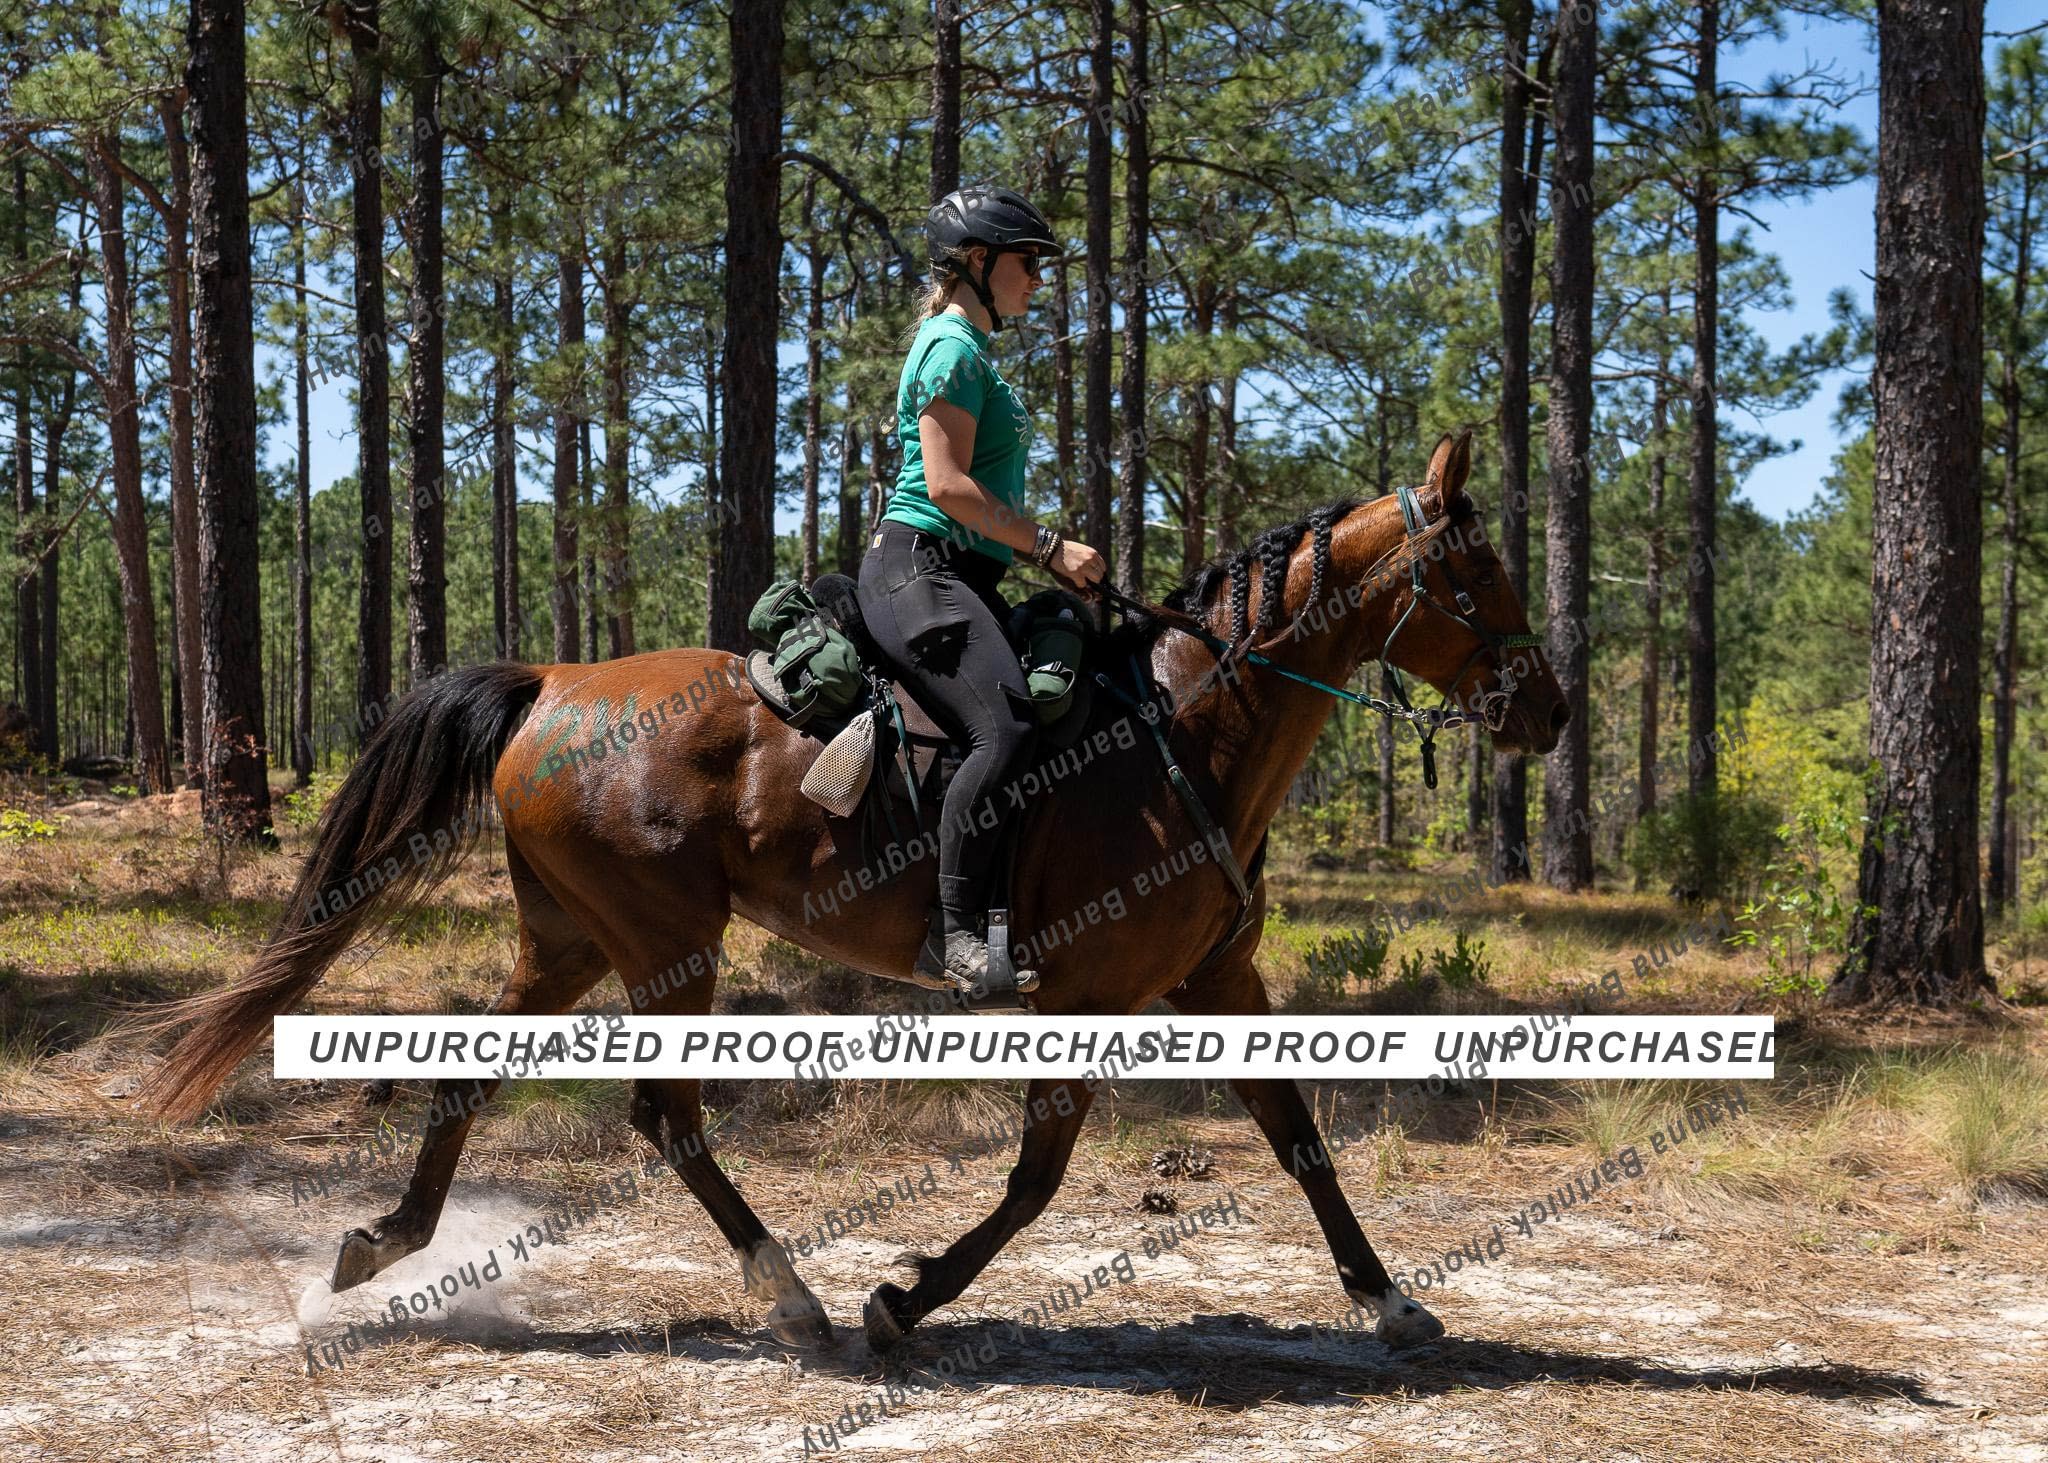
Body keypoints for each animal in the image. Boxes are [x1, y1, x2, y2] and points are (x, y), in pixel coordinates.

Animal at [140, 429, 1566, 1356]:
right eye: (1477, 577)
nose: (1547, 713)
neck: (1183, 728)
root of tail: (551, 684)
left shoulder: (1219, 974)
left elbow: (1294, 1131)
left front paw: (1389, 1299)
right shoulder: (1087, 991)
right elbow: (1038, 1172)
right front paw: (905, 1298)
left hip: (572, 939)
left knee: (470, 1078)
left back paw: (381, 1243)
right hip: (668, 944)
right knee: (664, 1117)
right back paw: (793, 1296)